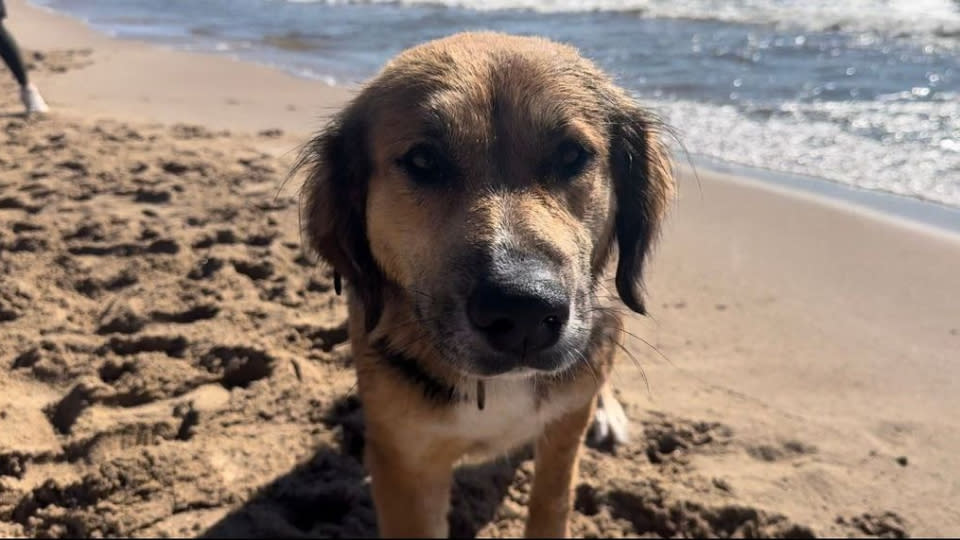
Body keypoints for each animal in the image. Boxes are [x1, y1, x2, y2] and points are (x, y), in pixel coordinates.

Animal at [294, 31, 676, 536]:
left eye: (572, 155)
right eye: (423, 160)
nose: (524, 312)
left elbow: (551, 505)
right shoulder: (406, 463)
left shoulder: (562, 433)